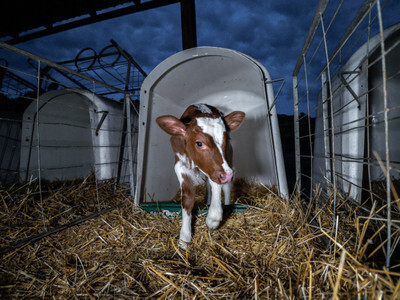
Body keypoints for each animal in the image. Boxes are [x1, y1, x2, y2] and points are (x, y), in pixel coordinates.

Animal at [155, 103, 244, 248]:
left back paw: (226, 205)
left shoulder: (218, 169)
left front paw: (213, 217)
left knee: (227, 188)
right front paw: (184, 238)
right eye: (199, 143)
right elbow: (187, 200)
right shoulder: (181, 166)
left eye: (225, 140)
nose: (227, 175)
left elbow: (217, 185)